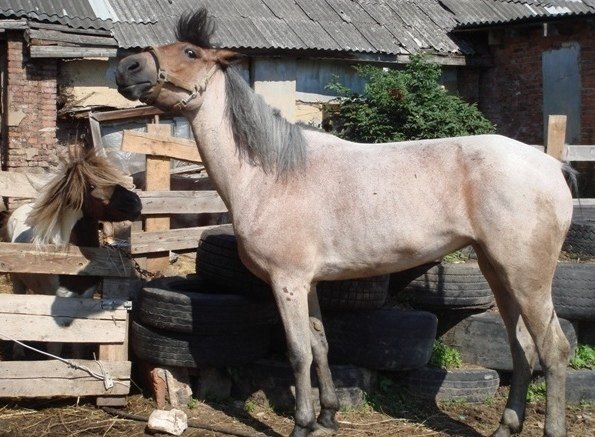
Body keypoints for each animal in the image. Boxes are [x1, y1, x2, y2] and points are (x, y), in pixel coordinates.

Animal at [2, 146, 142, 354]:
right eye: (91, 186)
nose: (136, 204)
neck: (70, 261)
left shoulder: (83, 300)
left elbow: (78, 346)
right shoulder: (60, 307)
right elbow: (55, 348)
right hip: (17, 281)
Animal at [116, 8, 576, 434]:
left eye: (190, 52)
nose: (127, 67)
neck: (272, 174)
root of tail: (552, 166)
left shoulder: (287, 282)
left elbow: (298, 351)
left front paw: (302, 423)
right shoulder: (309, 283)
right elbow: (321, 345)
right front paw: (328, 416)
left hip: (527, 278)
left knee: (552, 349)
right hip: (497, 272)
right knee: (521, 346)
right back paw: (506, 425)